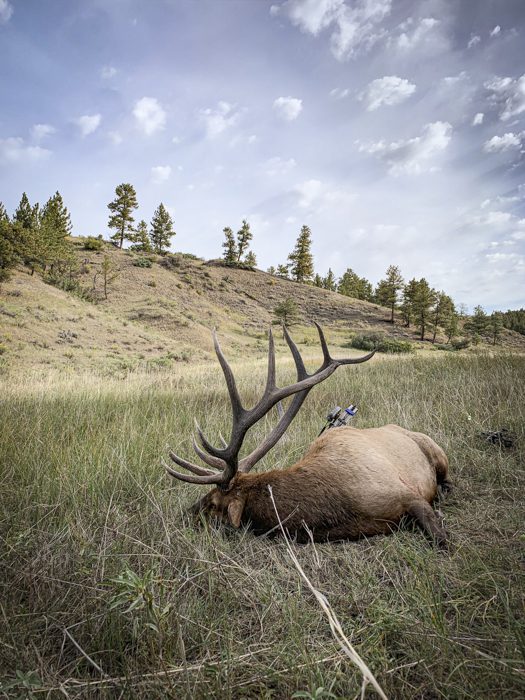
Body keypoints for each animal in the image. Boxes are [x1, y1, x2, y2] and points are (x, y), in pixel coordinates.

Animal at [164, 324, 451, 546]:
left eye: (212, 502)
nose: (184, 515)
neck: (340, 509)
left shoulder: (406, 493)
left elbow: (441, 540)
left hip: (436, 451)